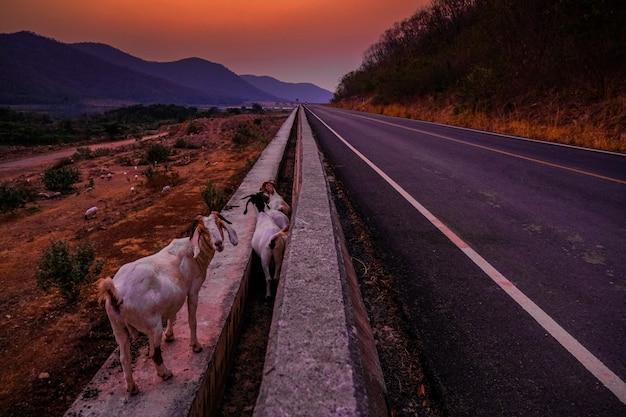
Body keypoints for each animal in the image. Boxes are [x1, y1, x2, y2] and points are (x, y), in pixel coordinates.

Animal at [97, 211, 236, 394]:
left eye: (219, 224)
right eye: (203, 230)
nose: (219, 243)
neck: (194, 252)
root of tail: (118, 295)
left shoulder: (174, 296)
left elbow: (172, 312)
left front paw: (170, 335)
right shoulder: (193, 290)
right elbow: (192, 320)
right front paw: (196, 346)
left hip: (118, 328)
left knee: (124, 357)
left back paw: (132, 387)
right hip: (152, 325)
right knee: (154, 354)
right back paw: (165, 373)